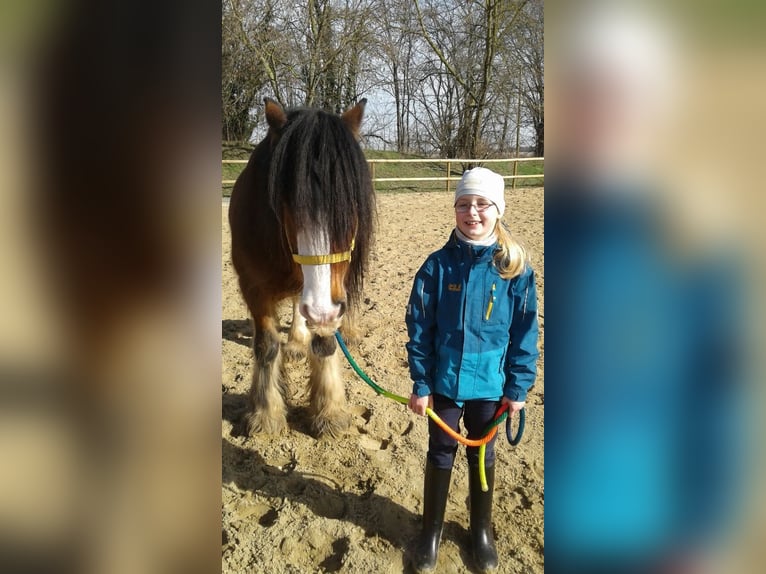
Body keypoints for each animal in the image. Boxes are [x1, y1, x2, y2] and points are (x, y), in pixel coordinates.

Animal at [228, 98, 375, 438]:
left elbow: (325, 342)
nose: (321, 309)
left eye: (351, 207)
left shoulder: (333, 297)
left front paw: (329, 411)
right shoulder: (253, 288)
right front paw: (265, 413)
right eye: (287, 205)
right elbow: (267, 345)